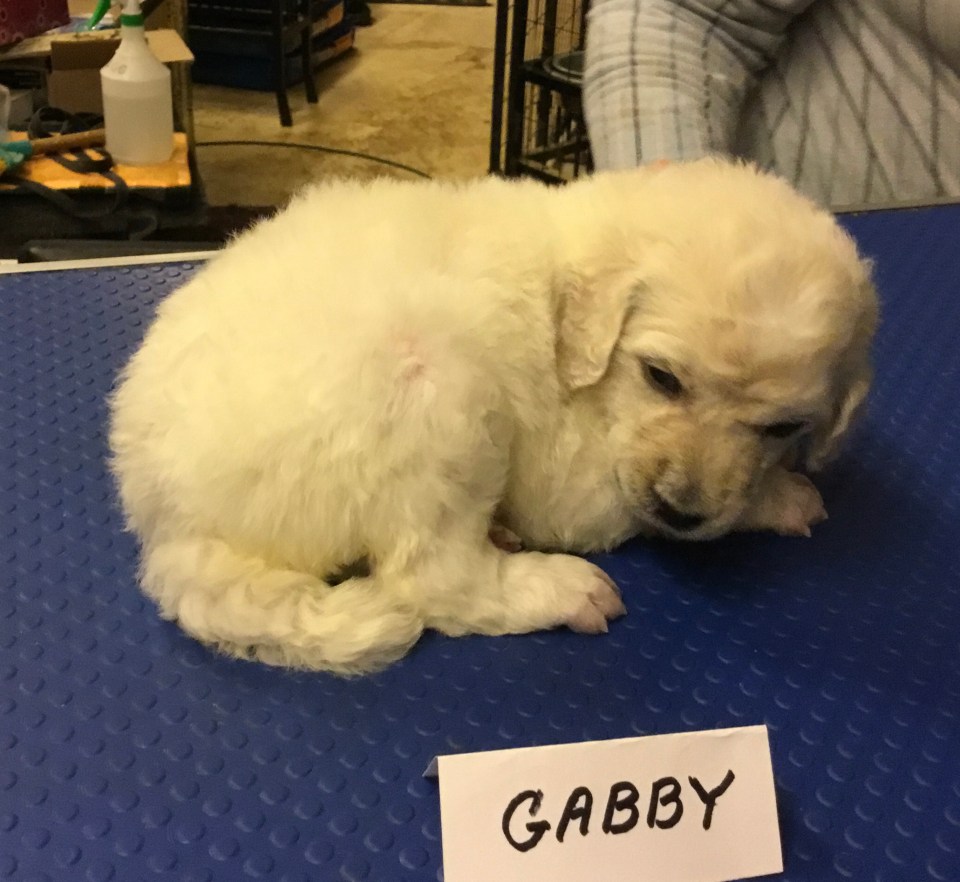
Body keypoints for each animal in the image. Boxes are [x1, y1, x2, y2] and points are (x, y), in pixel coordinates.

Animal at [108, 159, 877, 674]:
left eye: (782, 427)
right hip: (437, 384)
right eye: (663, 377)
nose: (683, 509)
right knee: (435, 579)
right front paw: (779, 498)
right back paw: (558, 587)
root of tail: (169, 526)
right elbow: (619, 509)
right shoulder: (575, 482)